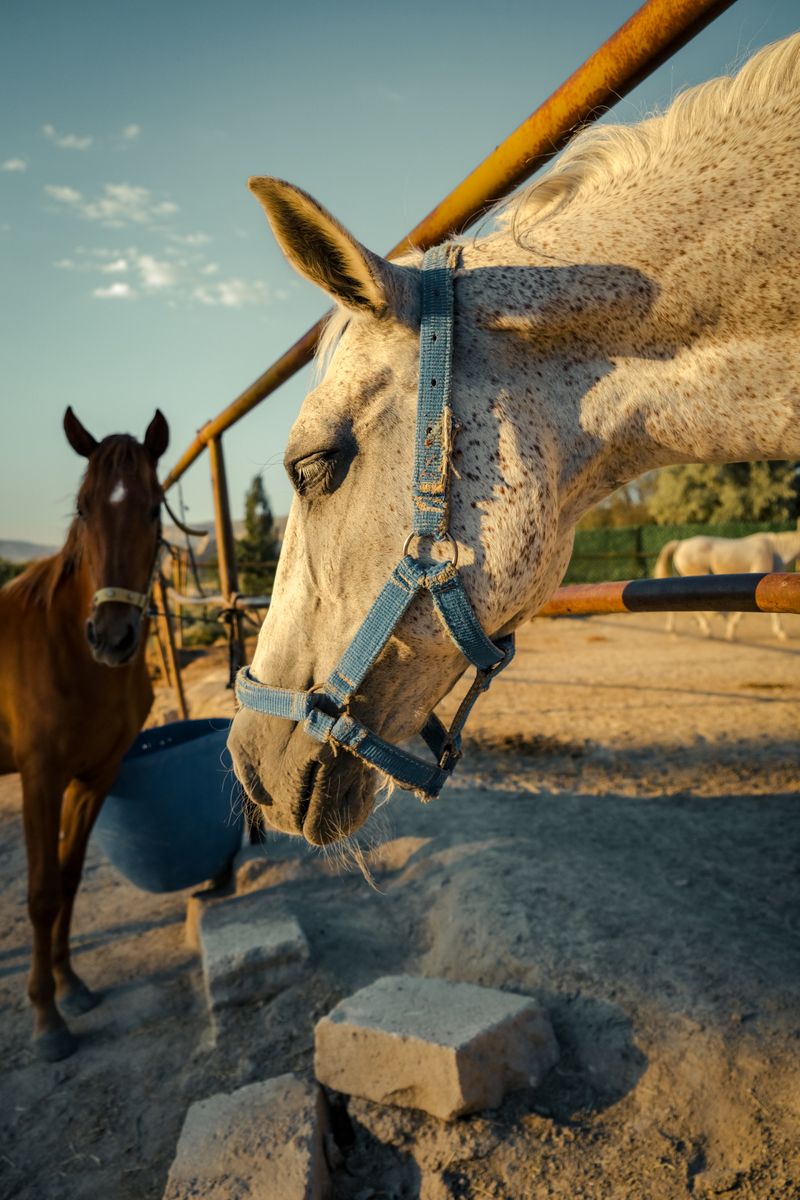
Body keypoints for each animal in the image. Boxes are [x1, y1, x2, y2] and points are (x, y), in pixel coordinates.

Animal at [0, 408, 169, 1060]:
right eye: (82, 507)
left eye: (154, 507)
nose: (112, 636)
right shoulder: (40, 778)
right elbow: (42, 891)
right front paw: (47, 1018)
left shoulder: (95, 776)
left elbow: (69, 879)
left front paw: (70, 985)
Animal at [654, 530, 800, 640]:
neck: (775, 549)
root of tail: (680, 544)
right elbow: (741, 613)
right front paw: (731, 631)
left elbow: (776, 613)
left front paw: (781, 632)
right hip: (697, 574)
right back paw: (707, 627)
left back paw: (677, 629)